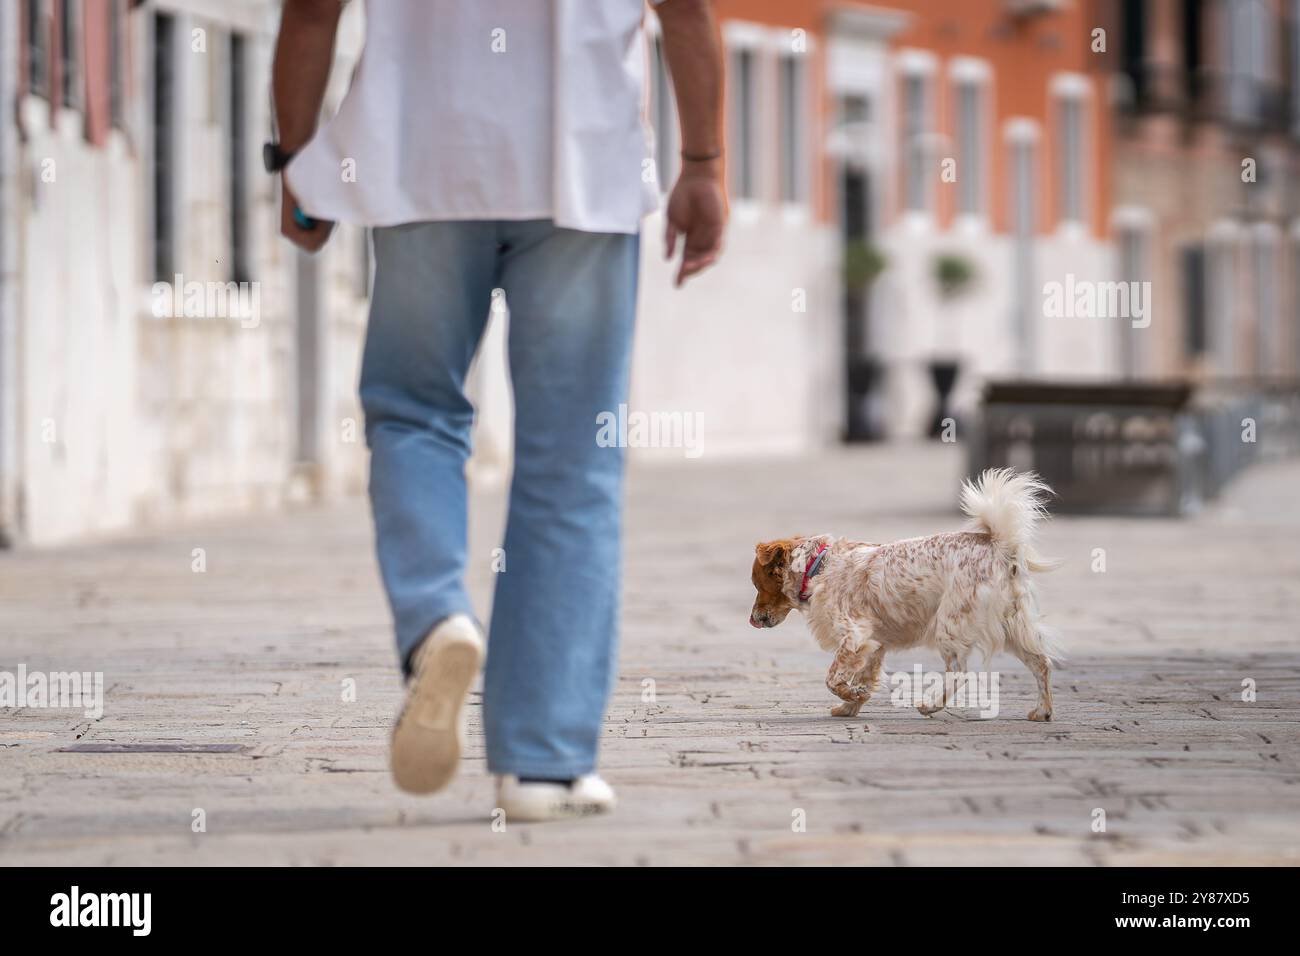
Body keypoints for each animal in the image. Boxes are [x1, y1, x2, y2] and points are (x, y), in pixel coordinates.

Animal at [748, 468, 1060, 723]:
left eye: (758, 585)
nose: (752, 620)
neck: (819, 566)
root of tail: (998, 545)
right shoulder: (874, 643)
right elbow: (865, 678)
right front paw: (852, 704)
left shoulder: (854, 635)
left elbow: (833, 679)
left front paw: (850, 695)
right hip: (1012, 626)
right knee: (1041, 663)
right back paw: (1042, 711)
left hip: (950, 624)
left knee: (959, 672)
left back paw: (931, 705)